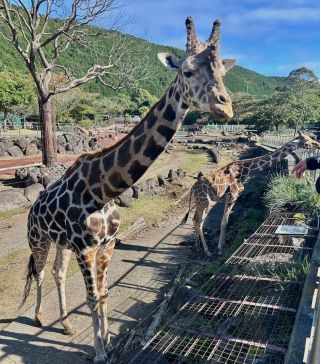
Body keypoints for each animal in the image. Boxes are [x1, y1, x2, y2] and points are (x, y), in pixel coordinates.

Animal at [20, 16, 235, 362]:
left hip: (61, 243)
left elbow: (105, 293)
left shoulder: (106, 243)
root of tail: (32, 208)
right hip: (38, 238)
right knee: (39, 272)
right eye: (188, 71)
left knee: (56, 273)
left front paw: (107, 341)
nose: (225, 108)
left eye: (221, 72)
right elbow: (92, 298)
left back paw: (65, 324)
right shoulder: (85, 247)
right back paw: (40, 317)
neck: (102, 188)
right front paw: (99, 352)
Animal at [182, 132, 320, 258]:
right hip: (205, 202)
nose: (317, 143)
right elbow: (224, 222)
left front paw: (221, 246)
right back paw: (207, 251)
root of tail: (192, 188)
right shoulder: (232, 197)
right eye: (306, 139)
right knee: (199, 222)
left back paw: (198, 246)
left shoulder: (230, 198)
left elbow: (225, 221)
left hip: (200, 203)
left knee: (194, 219)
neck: (245, 171)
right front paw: (220, 249)